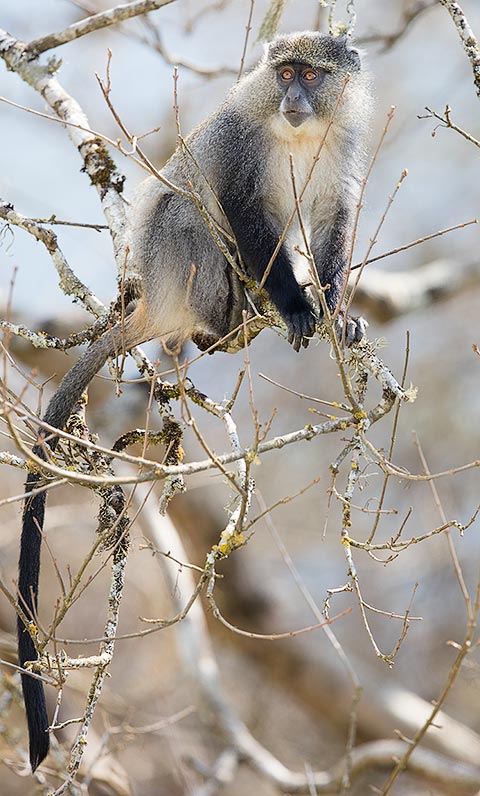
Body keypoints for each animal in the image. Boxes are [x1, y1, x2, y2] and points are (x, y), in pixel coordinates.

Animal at [17, 31, 371, 771]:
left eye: (311, 76)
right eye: (284, 73)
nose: (293, 98)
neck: (298, 130)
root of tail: (154, 297)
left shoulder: (346, 143)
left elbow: (333, 220)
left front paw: (336, 309)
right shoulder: (240, 147)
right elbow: (243, 214)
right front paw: (299, 305)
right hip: (179, 263)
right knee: (191, 216)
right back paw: (222, 320)